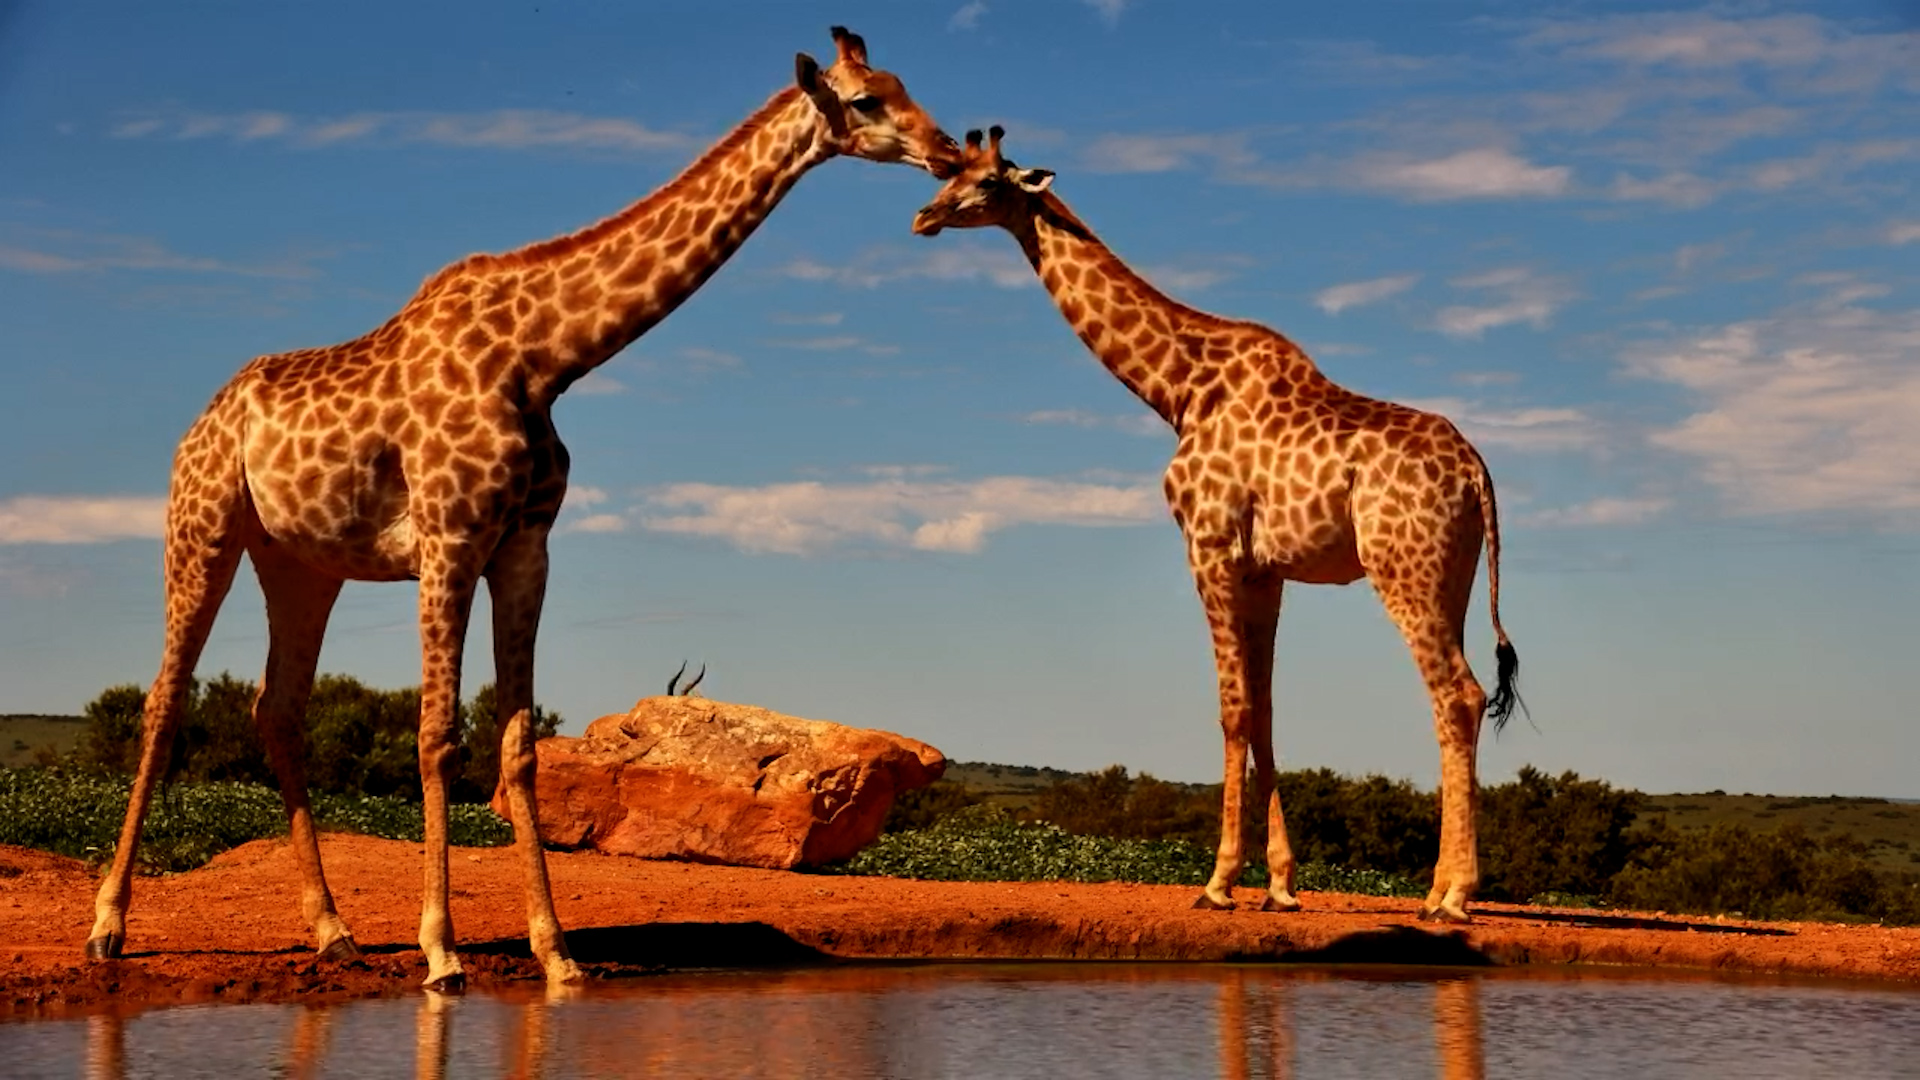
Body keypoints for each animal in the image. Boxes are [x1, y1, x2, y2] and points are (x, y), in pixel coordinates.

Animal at [85, 27, 962, 991]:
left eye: (906, 83)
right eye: (870, 100)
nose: (950, 153)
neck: (544, 357)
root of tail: (206, 416)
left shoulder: (526, 545)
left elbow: (517, 747)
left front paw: (557, 953)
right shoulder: (449, 536)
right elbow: (436, 736)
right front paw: (441, 952)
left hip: (301, 565)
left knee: (277, 712)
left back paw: (333, 933)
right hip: (202, 527)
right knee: (163, 704)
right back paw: (109, 927)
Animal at [911, 129, 1521, 922]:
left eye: (986, 182)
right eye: (948, 173)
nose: (924, 216)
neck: (1177, 388)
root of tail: (1478, 473)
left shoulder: (1209, 547)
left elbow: (1230, 711)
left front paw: (1219, 881)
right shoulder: (1265, 569)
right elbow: (1263, 710)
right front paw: (1282, 886)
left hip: (1402, 567)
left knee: (1457, 693)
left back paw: (1452, 896)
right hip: (1454, 572)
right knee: (1457, 696)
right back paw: (1436, 890)